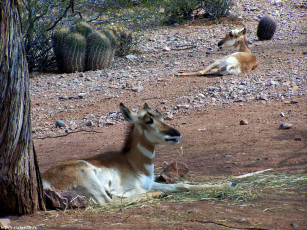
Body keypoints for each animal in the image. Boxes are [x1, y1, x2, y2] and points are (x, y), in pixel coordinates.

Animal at [43, 103, 231, 204]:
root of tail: (44, 180)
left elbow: (181, 185)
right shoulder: (135, 187)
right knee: (109, 201)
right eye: (149, 120)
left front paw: (229, 183)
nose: (176, 133)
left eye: (162, 117)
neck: (132, 163)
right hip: (89, 177)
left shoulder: (150, 183)